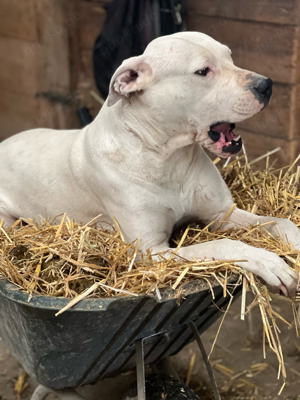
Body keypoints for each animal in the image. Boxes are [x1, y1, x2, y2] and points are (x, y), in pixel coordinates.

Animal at [0, 32, 298, 296]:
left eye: (230, 56)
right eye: (203, 71)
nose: (266, 85)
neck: (166, 157)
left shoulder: (222, 213)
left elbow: (280, 222)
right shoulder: (151, 252)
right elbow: (225, 245)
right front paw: (269, 262)